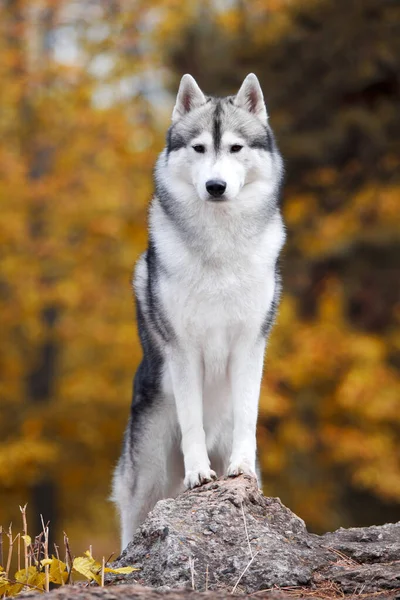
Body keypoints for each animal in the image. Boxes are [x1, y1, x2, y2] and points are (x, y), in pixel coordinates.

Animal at [112, 74, 286, 548]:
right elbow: (193, 423)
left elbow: (248, 415)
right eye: (199, 148)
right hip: (149, 474)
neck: (220, 245)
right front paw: (198, 474)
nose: (215, 187)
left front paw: (239, 468)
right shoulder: (184, 349)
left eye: (236, 148)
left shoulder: (250, 345)